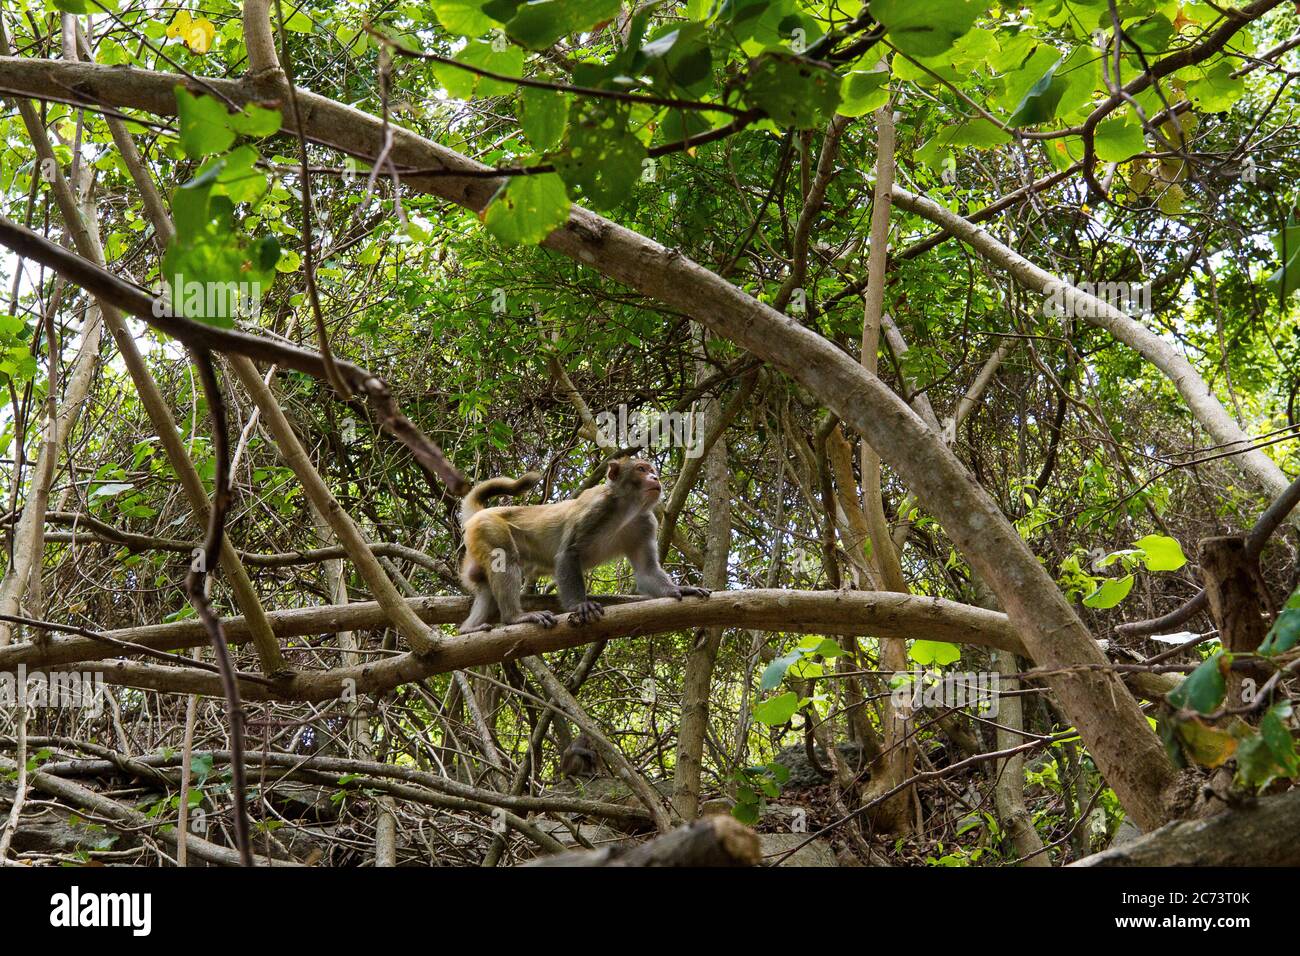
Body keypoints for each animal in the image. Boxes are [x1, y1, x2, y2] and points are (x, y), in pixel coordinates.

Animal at [458, 457, 710, 633]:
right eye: (641, 469)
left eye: (652, 470)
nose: (655, 478)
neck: (626, 509)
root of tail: (482, 513)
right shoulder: (596, 510)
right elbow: (567, 554)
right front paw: (580, 605)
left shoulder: (645, 523)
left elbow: (646, 571)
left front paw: (678, 589)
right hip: (489, 527)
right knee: (505, 558)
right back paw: (514, 617)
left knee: (486, 586)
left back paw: (467, 629)